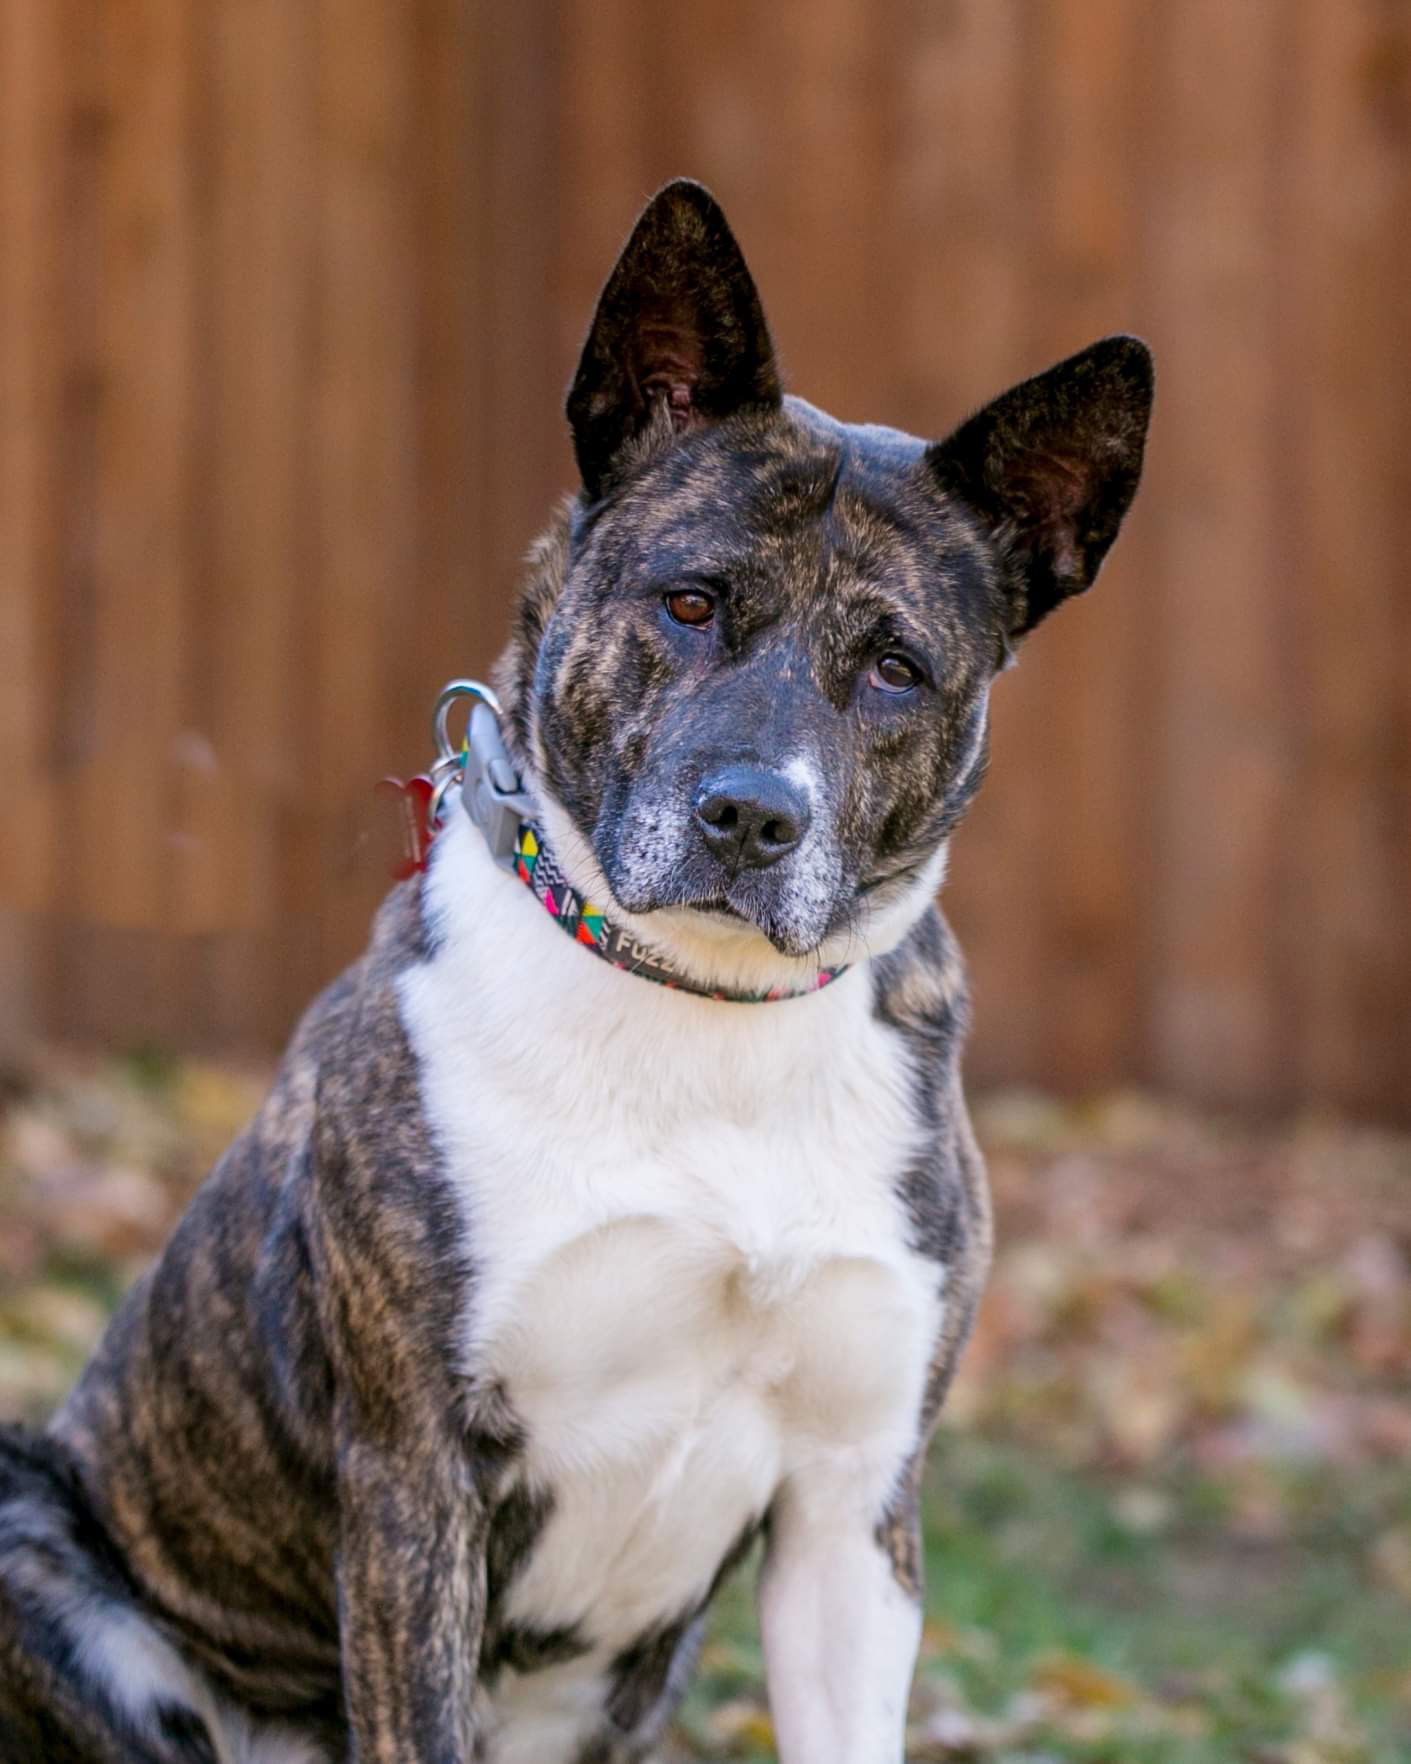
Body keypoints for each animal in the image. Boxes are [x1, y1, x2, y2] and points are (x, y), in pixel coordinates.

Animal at [0, 182, 1149, 1764]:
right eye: (688, 603)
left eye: (896, 669)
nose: (750, 817)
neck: (698, 1009)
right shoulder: (415, 1481)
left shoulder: (852, 1510)